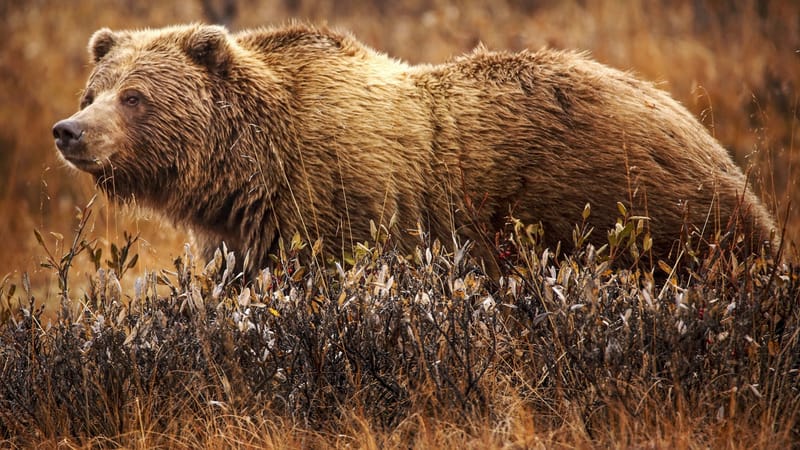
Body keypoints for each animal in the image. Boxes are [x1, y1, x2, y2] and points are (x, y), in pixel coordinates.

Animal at [53, 23, 775, 274]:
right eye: (94, 89)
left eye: (135, 96)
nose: (69, 130)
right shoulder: (245, 232)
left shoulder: (341, 203)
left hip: (635, 210)